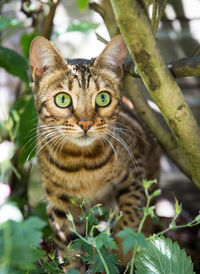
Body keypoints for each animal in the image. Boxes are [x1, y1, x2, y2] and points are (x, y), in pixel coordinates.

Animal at [29, 33, 160, 270]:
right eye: (62, 99)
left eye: (103, 98)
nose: (86, 123)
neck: (82, 163)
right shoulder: (59, 203)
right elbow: (70, 247)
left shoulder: (135, 173)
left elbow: (130, 217)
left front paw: (122, 254)